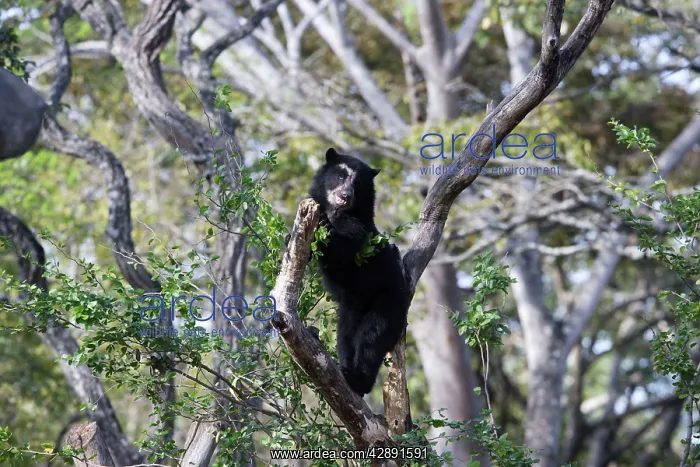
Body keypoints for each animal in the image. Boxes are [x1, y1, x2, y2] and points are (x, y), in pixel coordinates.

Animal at [308, 148, 410, 396]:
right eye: (340, 176)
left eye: (358, 184)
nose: (346, 196)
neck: (338, 210)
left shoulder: (358, 231)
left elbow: (345, 250)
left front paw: (325, 226)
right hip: (349, 310)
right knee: (345, 338)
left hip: (386, 305)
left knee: (371, 339)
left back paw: (357, 380)